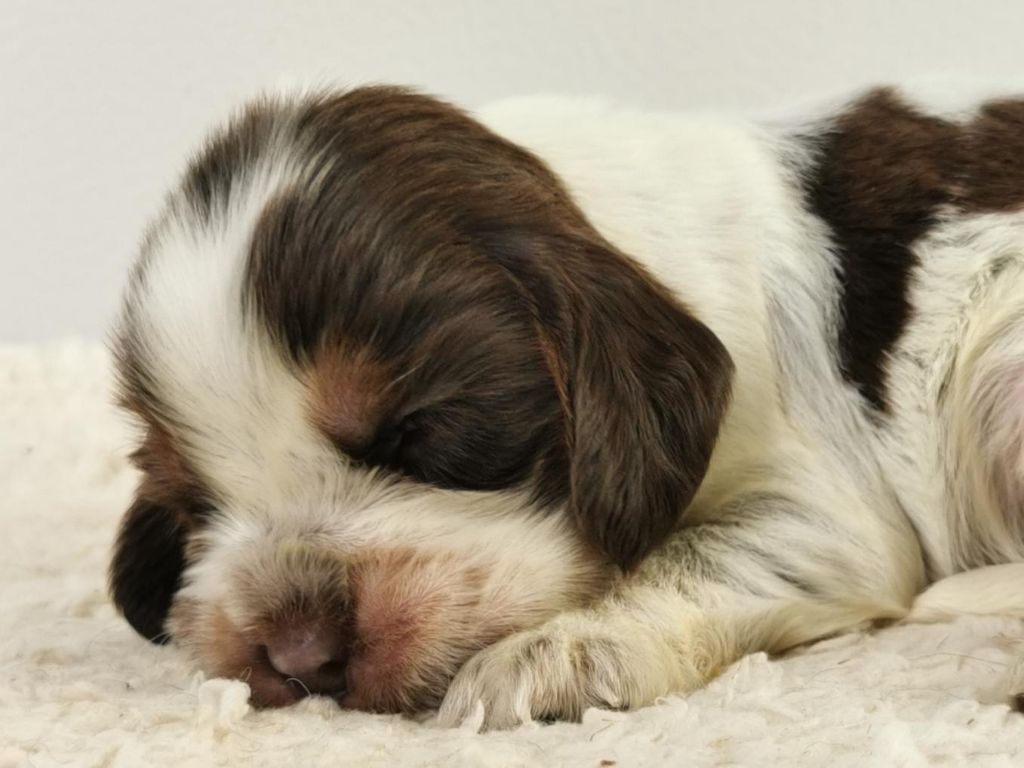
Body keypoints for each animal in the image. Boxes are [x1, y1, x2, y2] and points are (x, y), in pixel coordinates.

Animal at [109, 83, 1024, 729]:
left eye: (425, 433)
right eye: (193, 501)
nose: (302, 660)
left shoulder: (819, 508)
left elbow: (693, 558)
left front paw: (550, 654)